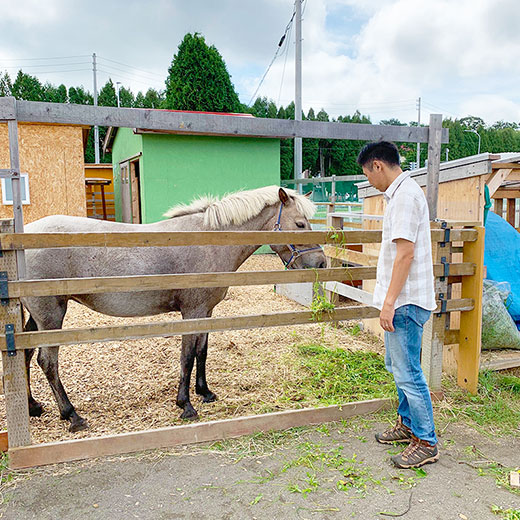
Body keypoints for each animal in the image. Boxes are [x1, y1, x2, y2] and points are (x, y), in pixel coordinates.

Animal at [24, 186, 328, 430]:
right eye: (300, 224)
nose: (322, 263)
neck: (208, 241)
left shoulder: (205, 311)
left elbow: (202, 352)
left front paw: (204, 392)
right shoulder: (191, 312)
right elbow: (187, 357)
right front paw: (186, 405)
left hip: (36, 317)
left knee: (25, 355)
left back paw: (32, 406)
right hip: (51, 315)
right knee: (47, 362)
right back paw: (72, 415)